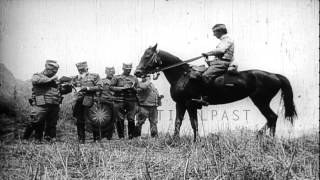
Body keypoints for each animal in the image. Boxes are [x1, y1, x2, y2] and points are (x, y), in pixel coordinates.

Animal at [134, 44, 296, 141]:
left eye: (147, 56)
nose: (137, 72)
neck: (182, 75)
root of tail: (275, 75)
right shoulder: (180, 104)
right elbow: (178, 122)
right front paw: (175, 140)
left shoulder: (190, 104)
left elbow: (193, 123)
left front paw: (196, 141)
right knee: (271, 118)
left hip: (261, 101)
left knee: (272, 117)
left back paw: (268, 139)